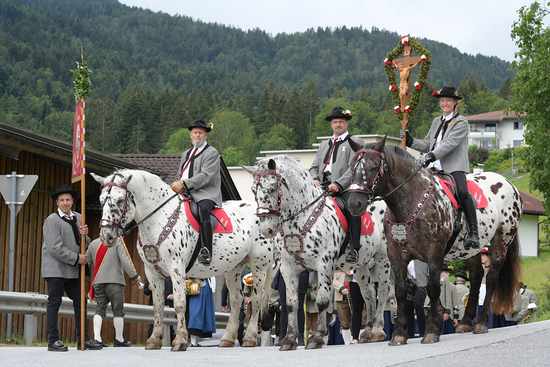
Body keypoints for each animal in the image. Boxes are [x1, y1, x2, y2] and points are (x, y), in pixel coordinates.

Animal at [94, 171, 276, 352]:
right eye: (101, 200)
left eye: (119, 200)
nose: (106, 237)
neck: (160, 218)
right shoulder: (152, 272)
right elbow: (158, 306)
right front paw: (154, 340)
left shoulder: (176, 268)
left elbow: (179, 304)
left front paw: (180, 341)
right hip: (235, 268)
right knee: (236, 300)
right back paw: (227, 339)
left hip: (259, 266)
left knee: (256, 299)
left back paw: (249, 338)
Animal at [246, 155, 392, 350]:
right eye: (254, 191)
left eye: (271, 189)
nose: (266, 229)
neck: (301, 218)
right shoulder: (287, 267)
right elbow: (291, 303)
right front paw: (289, 340)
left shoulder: (324, 264)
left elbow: (322, 300)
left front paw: (316, 337)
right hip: (360, 263)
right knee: (368, 291)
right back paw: (367, 332)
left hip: (383, 258)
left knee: (382, 290)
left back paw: (377, 330)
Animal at [348, 137, 524, 346]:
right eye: (351, 167)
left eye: (374, 167)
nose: (354, 204)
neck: (411, 202)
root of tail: (509, 184)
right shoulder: (396, 256)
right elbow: (400, 291)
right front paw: (399, 334)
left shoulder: (434, 253)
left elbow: (433, 289)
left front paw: (432, 331)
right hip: (472, 249)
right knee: (476, 277)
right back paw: (466, 322)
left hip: (502, 240)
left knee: (491, 279)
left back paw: (481, 323)